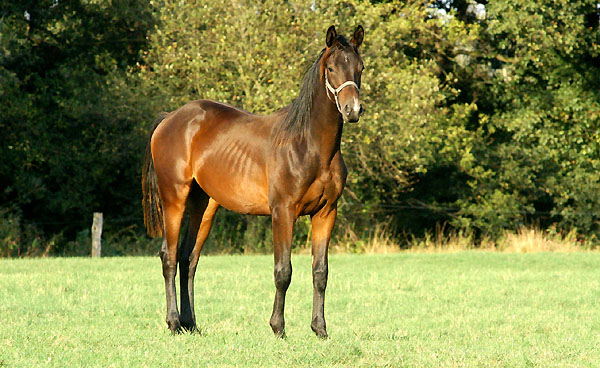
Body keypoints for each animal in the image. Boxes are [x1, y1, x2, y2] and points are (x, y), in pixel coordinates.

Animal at [143, 24, 364, 338]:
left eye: (360, 68)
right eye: (331, 68)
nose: (352, 110)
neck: (309, 145)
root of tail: (169, 118)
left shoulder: (325, 213)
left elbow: (320, 272)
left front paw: (320, 329)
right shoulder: (283, 212)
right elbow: (283, 272)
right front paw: (278, 328)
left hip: (204, 206)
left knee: (189, 259)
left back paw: (191, 324)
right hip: (173, 198)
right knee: (169, 256)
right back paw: (173, 322)